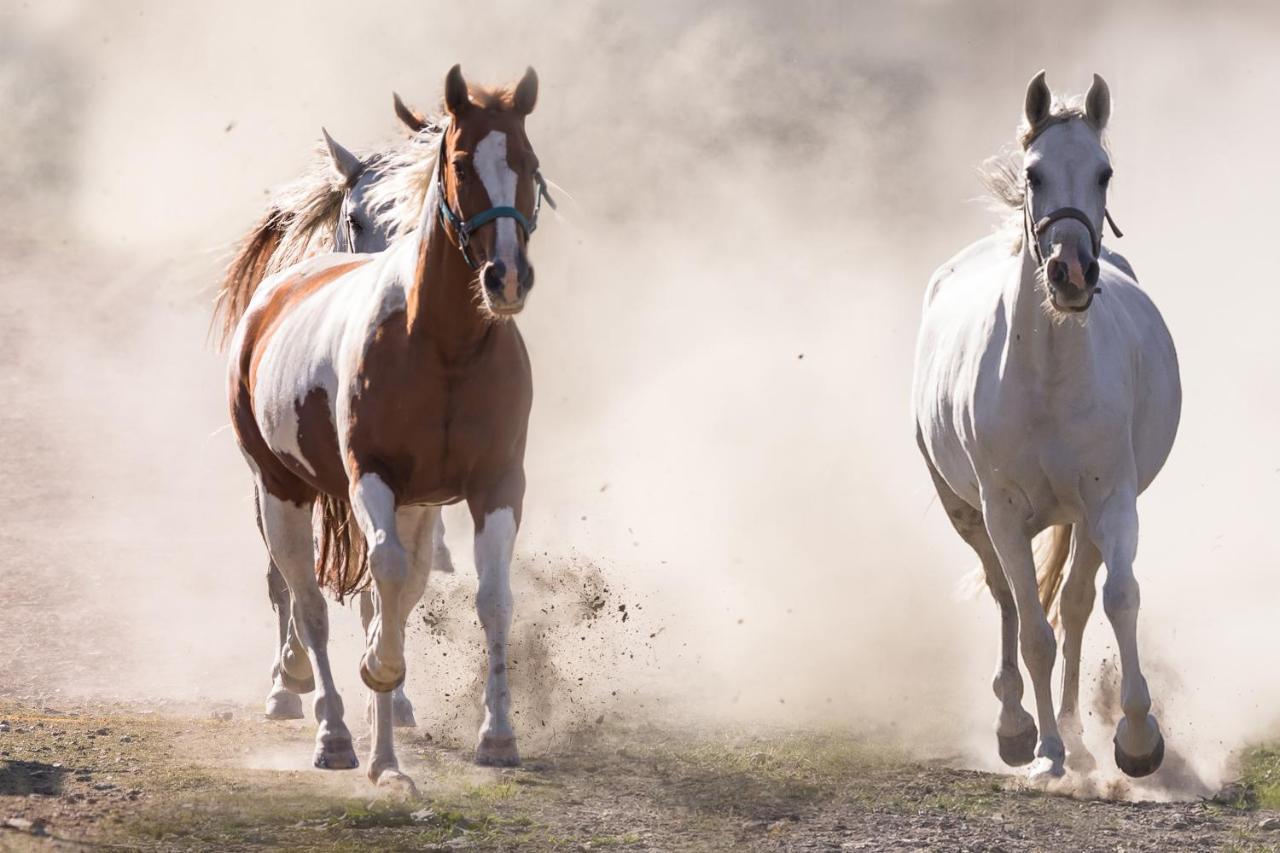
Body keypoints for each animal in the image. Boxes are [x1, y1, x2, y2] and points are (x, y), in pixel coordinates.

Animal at [221, 63, 550, 788]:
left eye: (530, 165)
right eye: (460, 162)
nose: (507, 278)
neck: (443, 347)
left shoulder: (494, 485)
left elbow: (489, 597)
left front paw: (498, 736)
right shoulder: (372, 476)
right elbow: (383, 579)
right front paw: (378, 669)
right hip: (279, 490)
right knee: (305, 600)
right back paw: (331, 729)